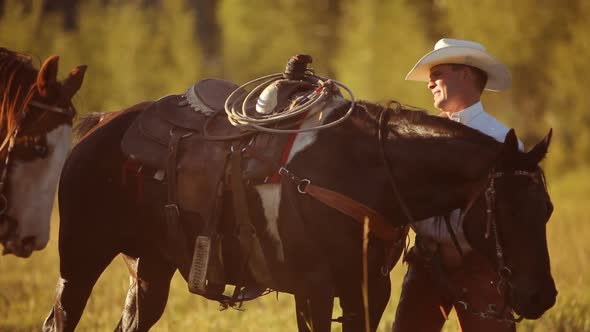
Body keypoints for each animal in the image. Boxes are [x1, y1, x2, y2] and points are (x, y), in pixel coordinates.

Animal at [44, 91, 556, 332]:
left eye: (546, 209)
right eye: (506, 208)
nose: (542, 297)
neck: (361, 173)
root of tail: (100, 124)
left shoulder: (368, 292)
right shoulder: (313, 291)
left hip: (149, 269)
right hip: (80, 260)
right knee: (61, 318)